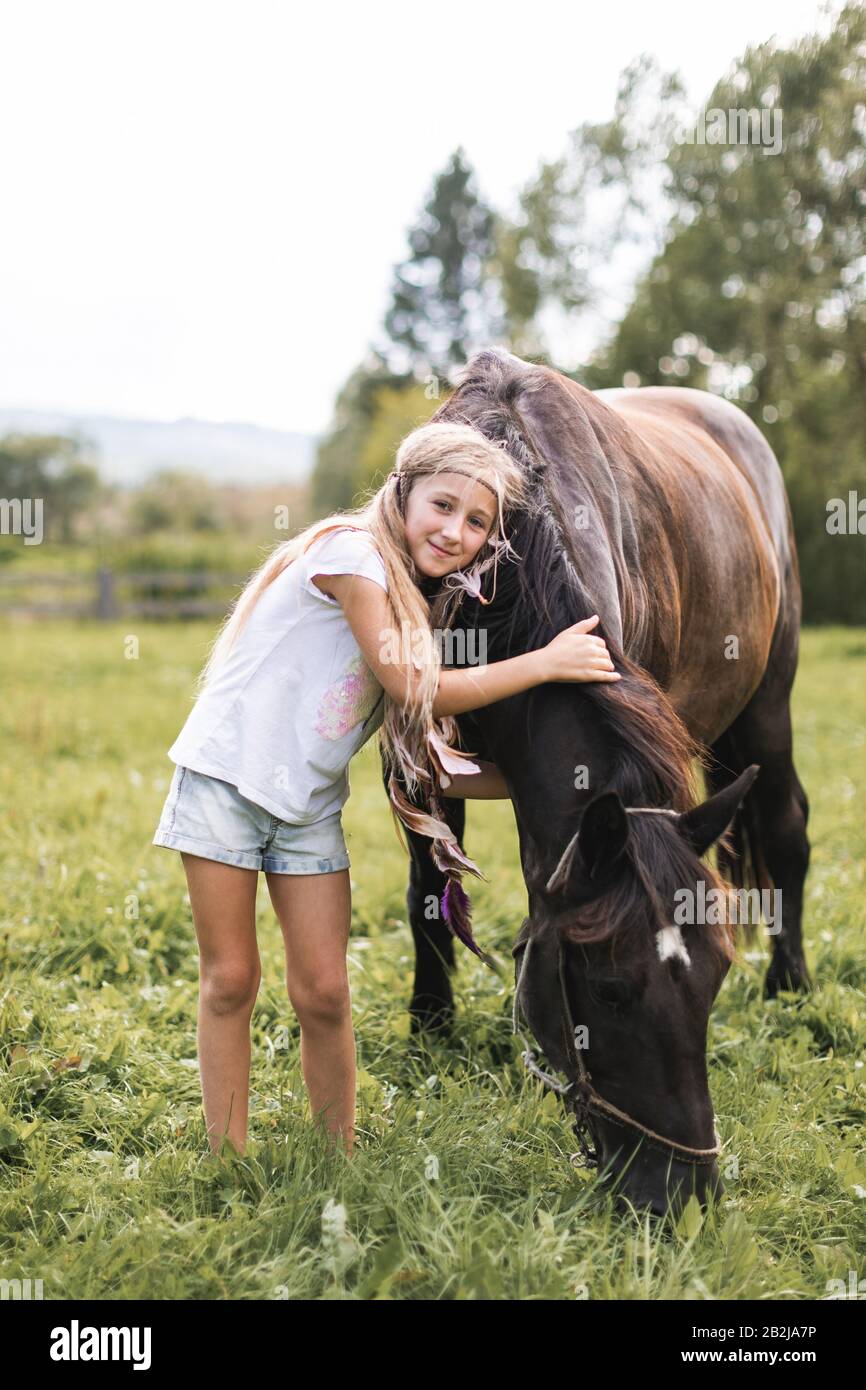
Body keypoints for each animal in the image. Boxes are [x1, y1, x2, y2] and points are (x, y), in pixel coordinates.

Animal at [383, 347, 811, 1217]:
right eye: (611, 990)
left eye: (716, 975)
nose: (682, 1194)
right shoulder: (421, 759)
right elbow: (427, 898)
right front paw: (430, 1031)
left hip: (768, 705)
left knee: (788, 830)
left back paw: (792, 989)